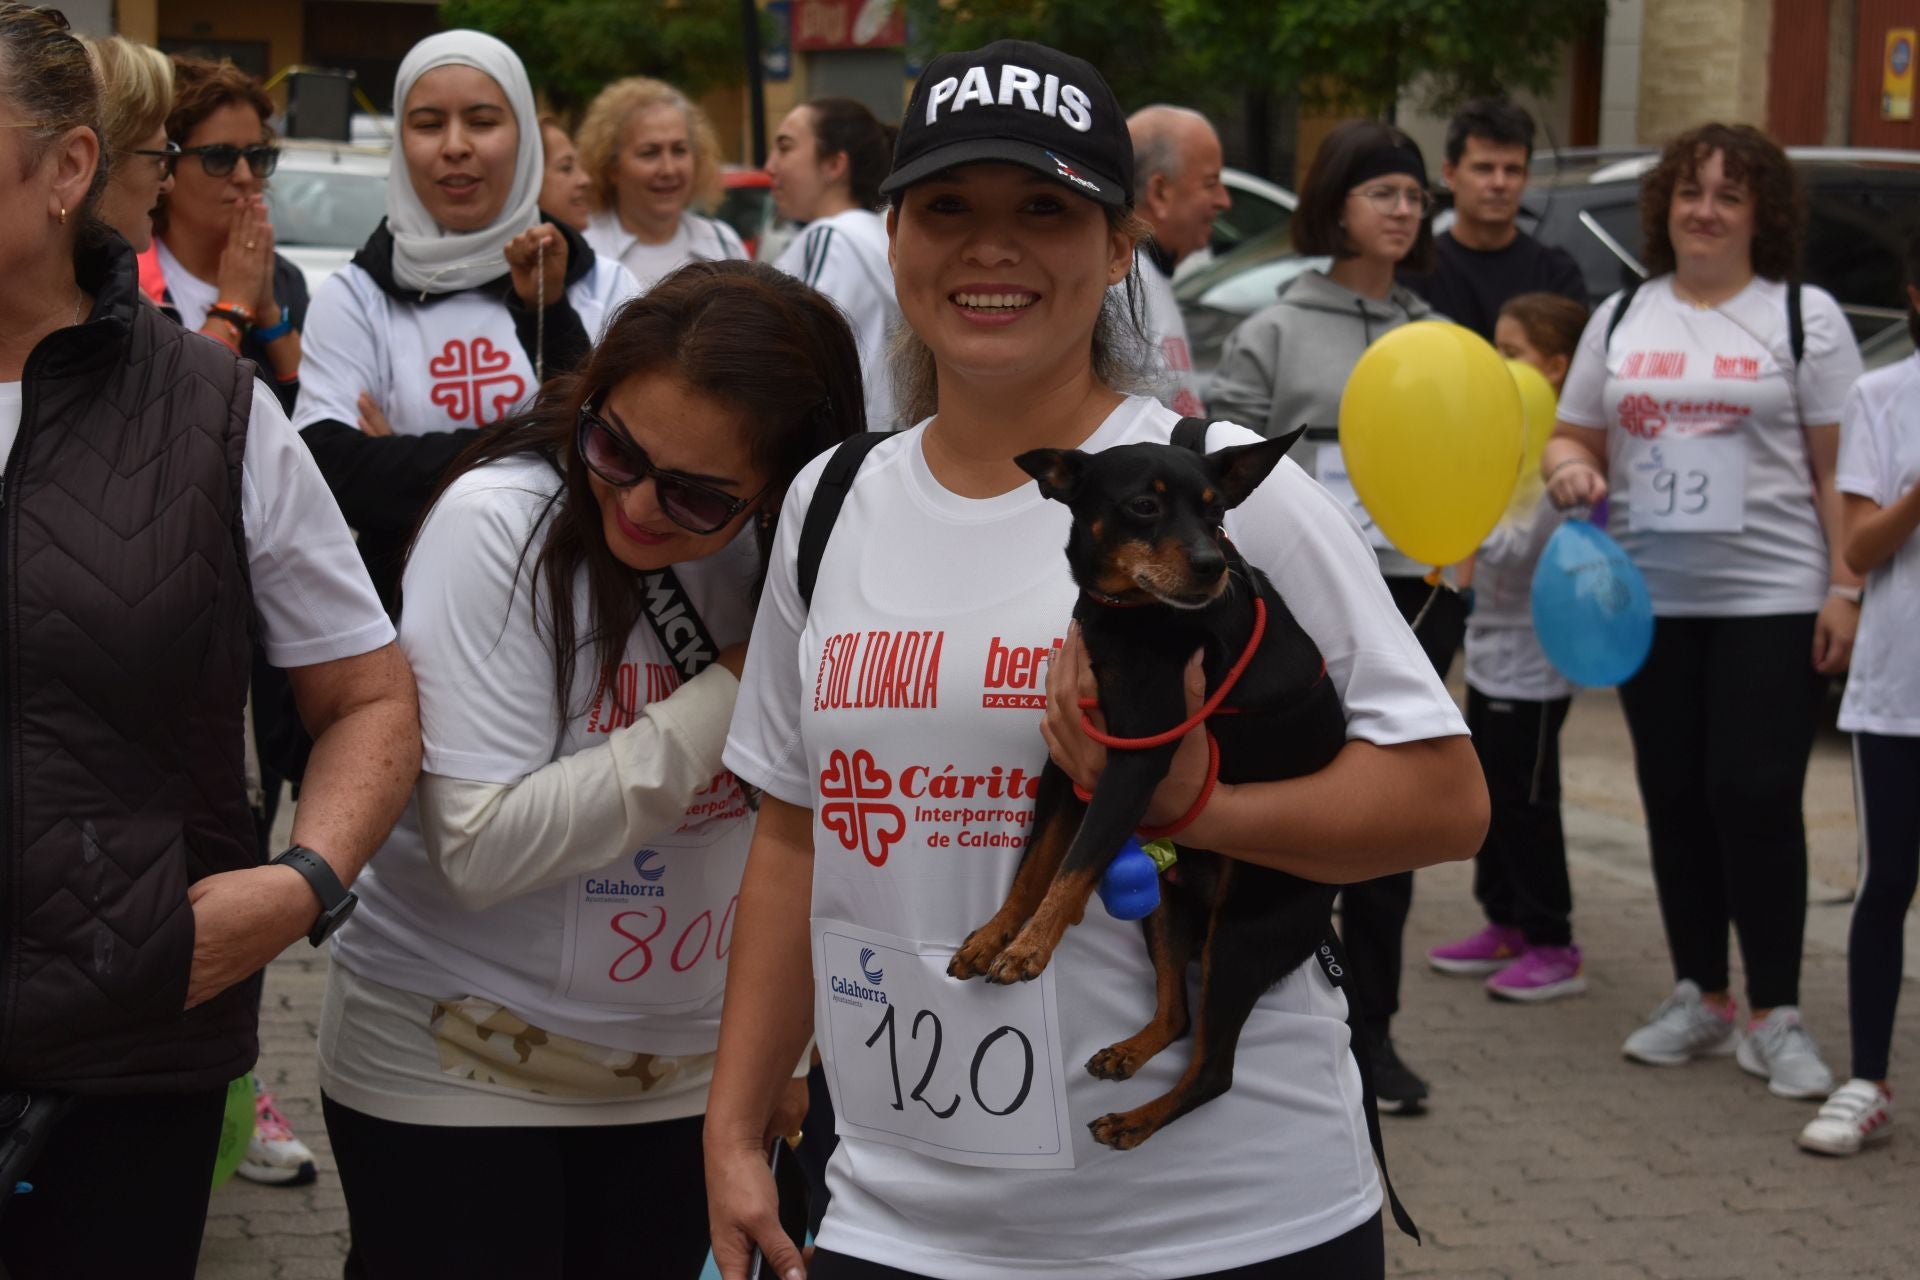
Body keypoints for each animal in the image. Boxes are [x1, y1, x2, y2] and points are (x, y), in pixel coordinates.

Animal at [948, 433, 1351, 1151]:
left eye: (1218, 513)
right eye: (1143, 506)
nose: (1212, 566)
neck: (1130, 618)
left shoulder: (1137, 760)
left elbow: (1075, 864)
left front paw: (1030, 949)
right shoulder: (1067, 762)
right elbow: (1035, 866)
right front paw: (996, 936)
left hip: (1240, 935)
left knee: (1214, 1070)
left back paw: (1135, 1122)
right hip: (1167, 904)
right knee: (1179, 1013)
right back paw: (1129, 1053)